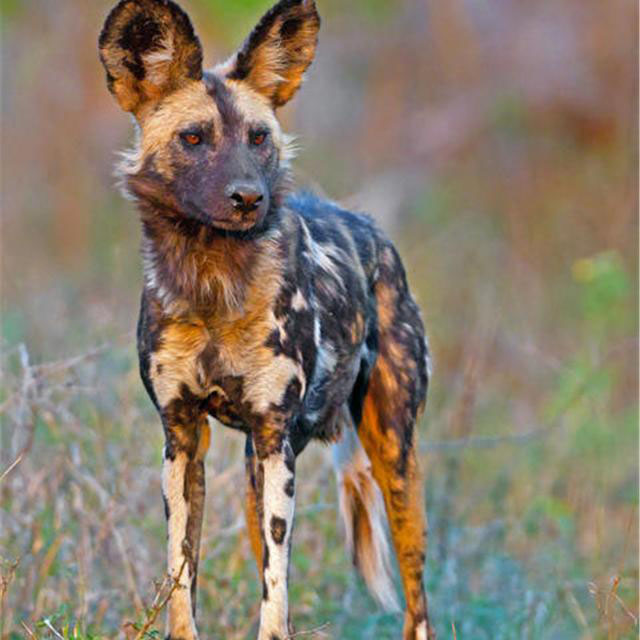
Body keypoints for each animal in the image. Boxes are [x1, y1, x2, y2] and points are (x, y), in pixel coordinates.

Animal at [97, 0, 432, 636]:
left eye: (259, 138)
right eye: (194, 138)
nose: (248, 196)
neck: (212, 284)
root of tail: (370, 226)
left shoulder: (276, 436)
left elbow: (274, 593)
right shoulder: (183, 437)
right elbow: (181, 576)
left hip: (390, 456)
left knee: (416, 590)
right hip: (261, 467)